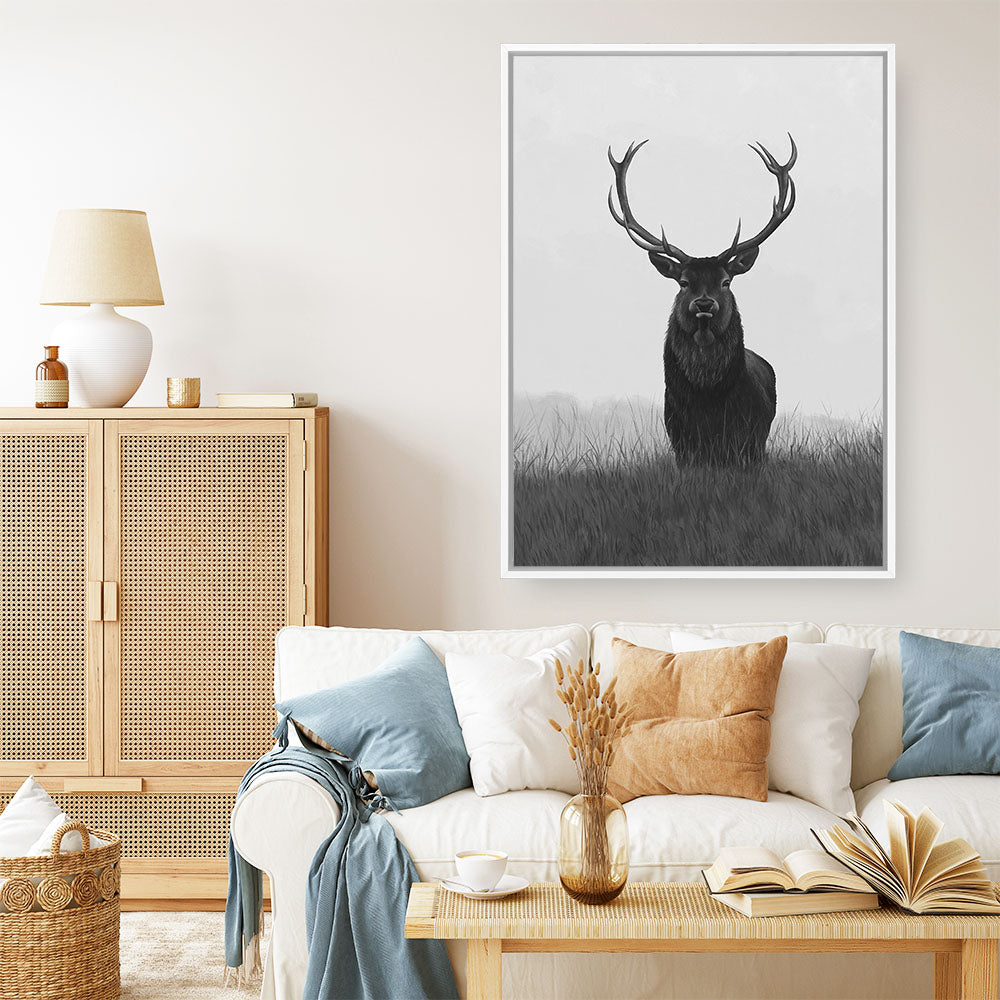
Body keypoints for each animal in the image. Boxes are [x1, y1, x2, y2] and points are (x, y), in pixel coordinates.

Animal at [608, 135, 797, 467]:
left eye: (726, 281)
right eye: (683, 283)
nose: (705, 304)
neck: (708, 403)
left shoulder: (749, 440)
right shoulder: (680, 439)